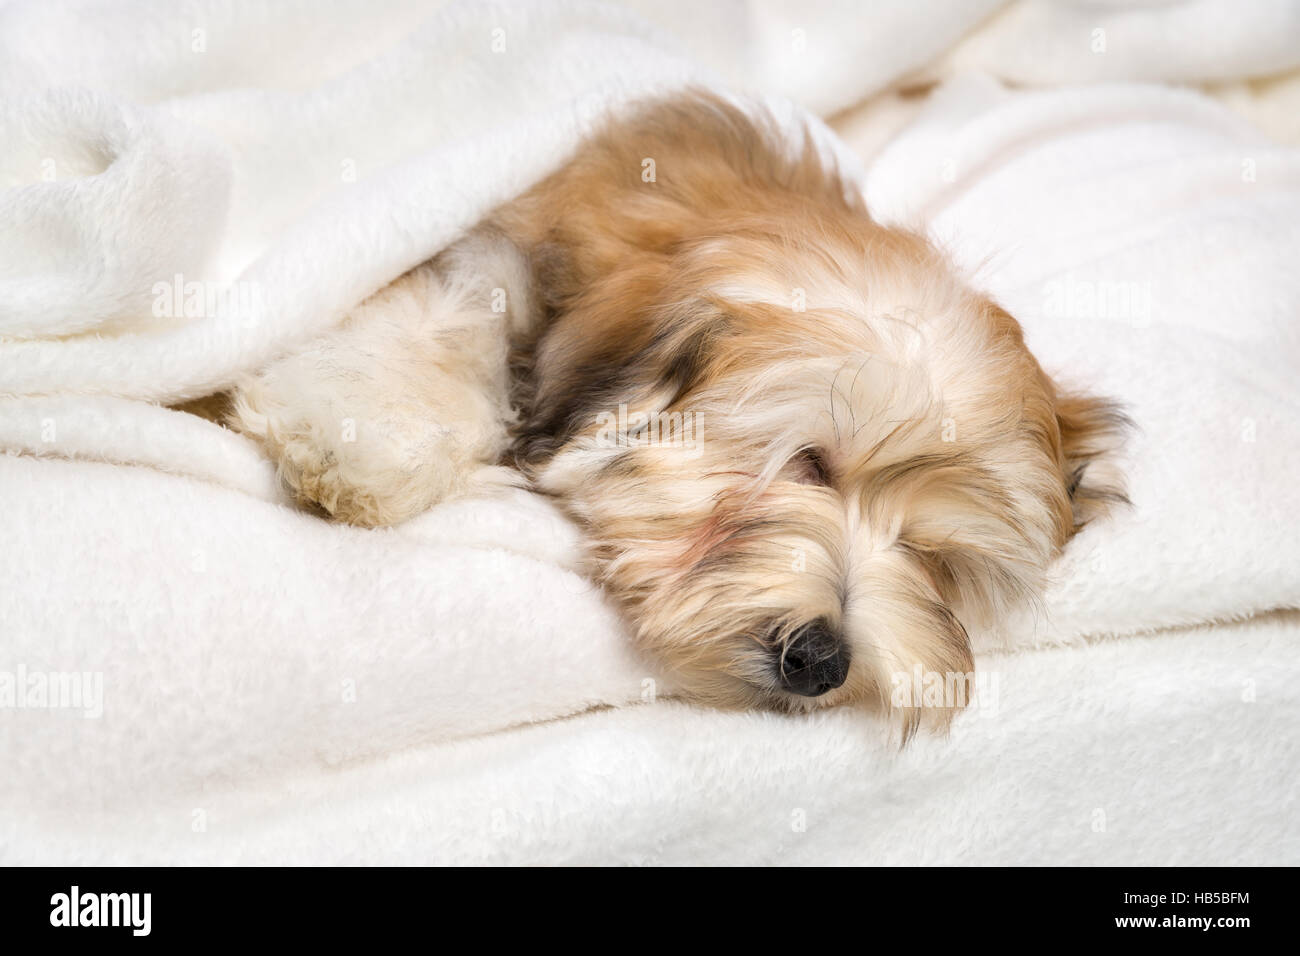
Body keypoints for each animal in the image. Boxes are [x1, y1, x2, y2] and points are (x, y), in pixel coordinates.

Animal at [231, 91, 1128, 733]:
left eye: (931, 555)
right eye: (810, 463)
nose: (823, 660)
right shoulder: (490, 254)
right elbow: (445, 327)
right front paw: (354, 433)